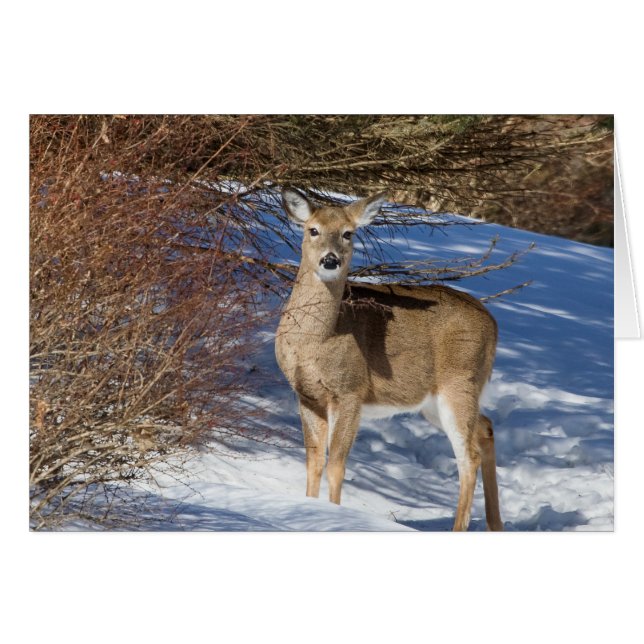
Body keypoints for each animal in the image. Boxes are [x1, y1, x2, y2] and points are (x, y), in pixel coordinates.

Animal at [275, 188, 503, 531]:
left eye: (348, 233)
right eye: (312, 229)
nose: (330, 260)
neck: (316, 341)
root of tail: (494, 323)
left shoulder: (351, 391)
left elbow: (336, 465)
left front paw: (335, 515)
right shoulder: (307, 395)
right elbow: (313, 462)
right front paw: (310, 508)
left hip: (459, 382)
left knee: (468, 456)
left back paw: (460, 527)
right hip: (436, 401)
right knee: (486, 428)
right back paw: (495, 524)